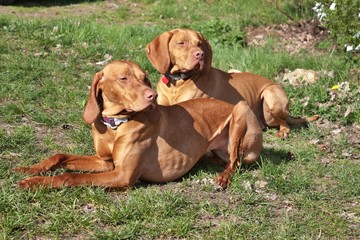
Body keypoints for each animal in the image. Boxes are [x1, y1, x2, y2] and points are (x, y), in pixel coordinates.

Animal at [14, 60, 262, 189]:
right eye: (124, 78)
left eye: (145, 79)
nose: (153, 96)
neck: (115, 125)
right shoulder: (105, 162)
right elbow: (60, 156)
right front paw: (29, 169)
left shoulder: (122, 175)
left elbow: (69, 176)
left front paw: (35, 182)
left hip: (240, 110)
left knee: (235, 162)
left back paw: (223, 177)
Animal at [145, 28, 320, 138]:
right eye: (181, 43)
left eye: (199, 43)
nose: (200, 54)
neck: (178, 82)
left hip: (270, 96)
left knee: (285, 123)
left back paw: (283, 131)